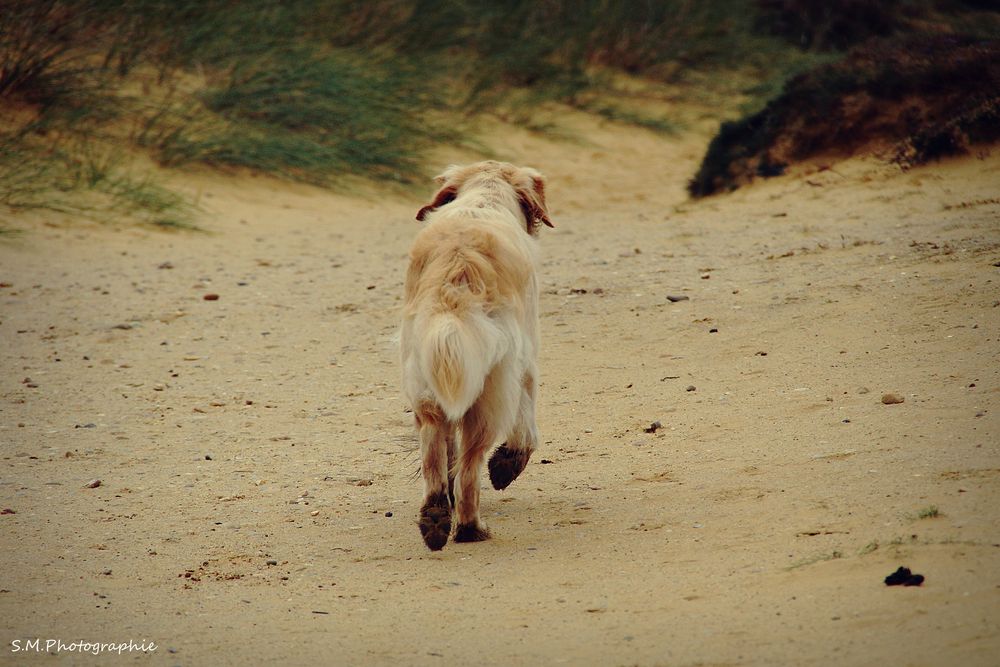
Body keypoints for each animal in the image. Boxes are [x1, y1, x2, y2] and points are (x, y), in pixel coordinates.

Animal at [400, 162, 556, 552]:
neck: (486, 198)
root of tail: (455, 289)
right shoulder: (526, 365)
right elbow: (526, 430)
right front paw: (507, 464)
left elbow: (448, 454)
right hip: (490, 396)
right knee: (470, 468)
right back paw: (471, 528)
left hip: (426, 390)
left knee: (434, 454)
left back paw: (436, 517)